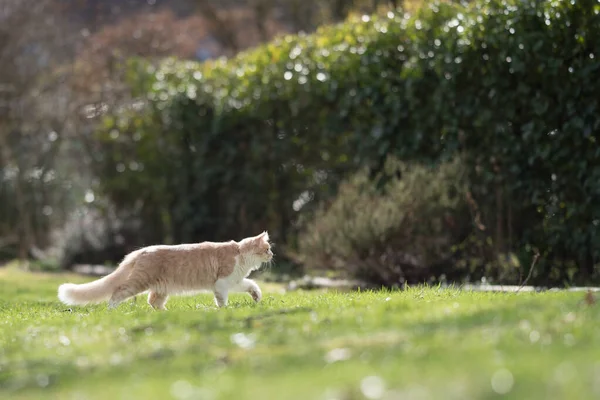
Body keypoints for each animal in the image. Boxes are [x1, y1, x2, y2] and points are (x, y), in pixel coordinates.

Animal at [57, 230, 274, 310]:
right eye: (267, 248)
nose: (272, 255)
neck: (240, 253)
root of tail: (143, 250)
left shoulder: (234, 281)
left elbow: (251, 285)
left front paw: (256, 297)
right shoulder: (222, 283)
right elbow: (222, 300)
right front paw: (223, 311)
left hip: (160, 288)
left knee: (153, 301)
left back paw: (166, 314)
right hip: (139, 282)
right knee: (118, 292)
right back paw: (112, 311)